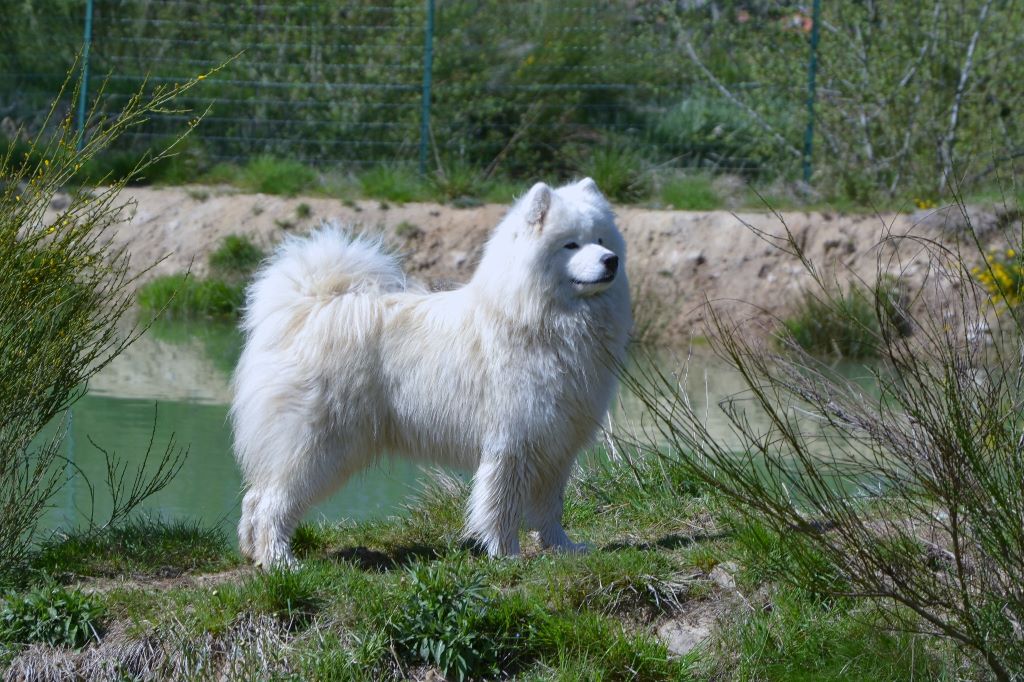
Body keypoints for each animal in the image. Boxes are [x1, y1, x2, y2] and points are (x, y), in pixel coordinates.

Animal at [233, 178, 630, 565]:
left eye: (600, 240)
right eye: (571, 244)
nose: (611, 260)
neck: (540, 320)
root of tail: (308, 307)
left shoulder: (556, 445)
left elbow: (549, 508)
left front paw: (562, 547)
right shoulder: (512, 443)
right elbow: (501, 508)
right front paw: (507, 555)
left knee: (255, 498)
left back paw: (254, 554)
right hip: (317, 448)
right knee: (272, 503)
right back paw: (281, 562)